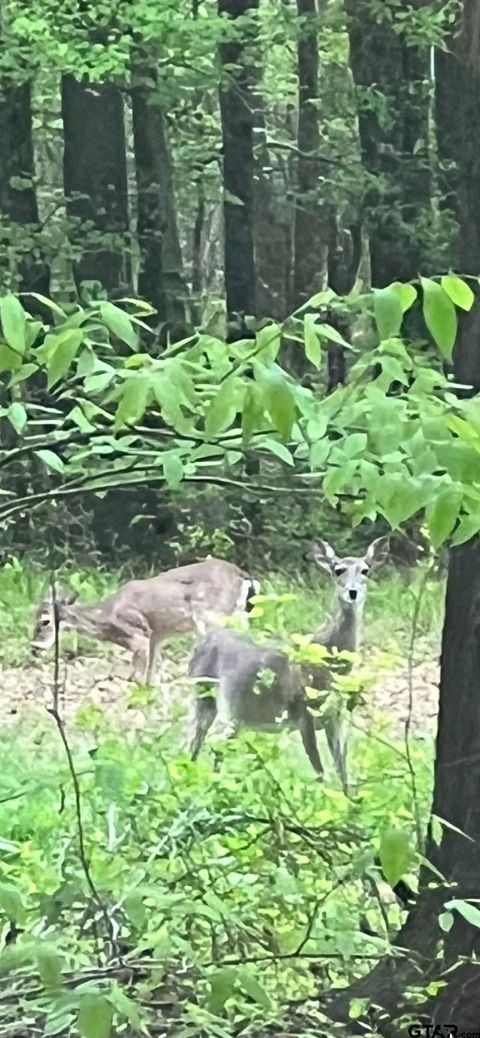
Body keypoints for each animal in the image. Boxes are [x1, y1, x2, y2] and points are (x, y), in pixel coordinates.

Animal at [31, 556, 260, 685]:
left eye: (45, 621)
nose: (34, 648)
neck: (107, 617)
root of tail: (242, 576)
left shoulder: (138, 636)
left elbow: (137, 679)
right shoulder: (156, 637)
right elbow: (150, 678)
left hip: (212, 616)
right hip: (238, 616)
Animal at [185, 535, 388, 784]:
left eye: (365, 570)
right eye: (338, 570)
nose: (352, 592)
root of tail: (199, 645)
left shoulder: (335, 717)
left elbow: (343, 776)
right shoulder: (303, 711)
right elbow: (321, 773)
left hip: (232, 715)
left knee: (212, 749)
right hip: (207, 698)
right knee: (195, 745)